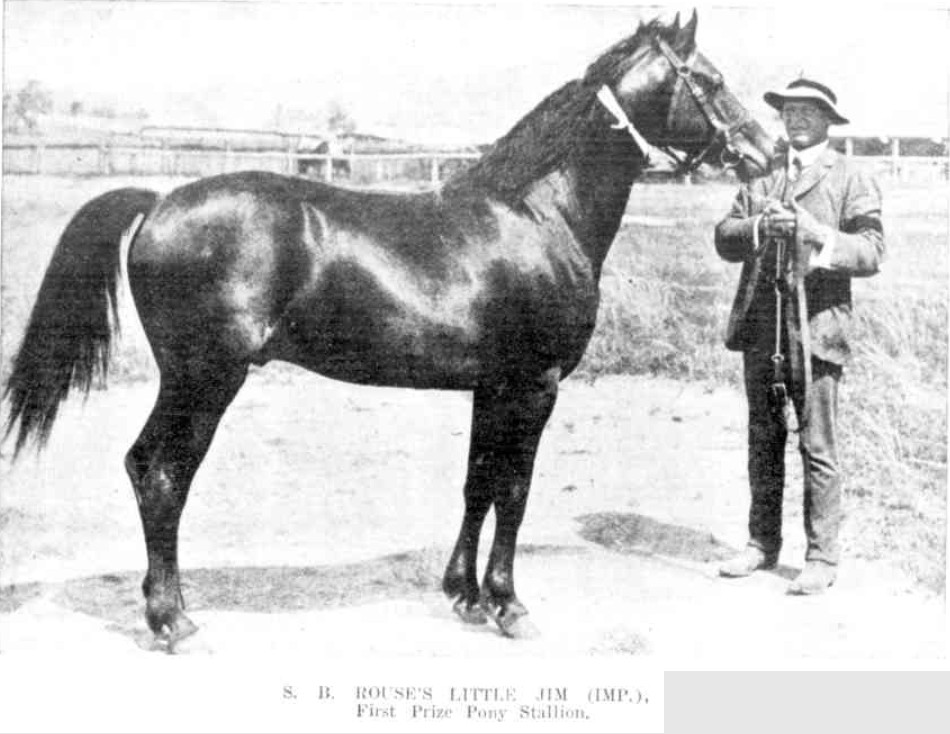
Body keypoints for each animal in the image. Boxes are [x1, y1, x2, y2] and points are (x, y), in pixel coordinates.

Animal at [3, 12, 776, 644]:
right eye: (710, 80)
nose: (766, 154)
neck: (537, 214)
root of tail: (159, 199)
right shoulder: (535, 385)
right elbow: (515, 491)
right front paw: (509, 605)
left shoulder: (492, 387)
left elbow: (478, 484)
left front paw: (464, 595)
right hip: (204, 379)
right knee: (159, 472)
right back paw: (173, 619)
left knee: (150, 471)